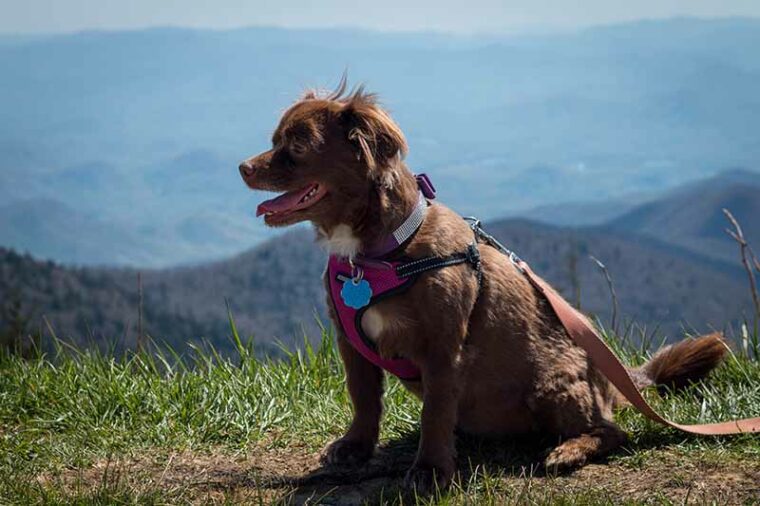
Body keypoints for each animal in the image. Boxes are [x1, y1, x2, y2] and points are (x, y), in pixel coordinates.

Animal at [238, 82, 724, 490]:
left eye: (297, 146)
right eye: (275, 139)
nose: (243, 167)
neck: (383, 250)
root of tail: (612, 380)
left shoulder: (442, 348)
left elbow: (434, 411)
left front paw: (430, 470)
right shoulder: (351, 344)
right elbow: (364, 399)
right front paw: (356, 447)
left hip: (554, 383)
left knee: (610, 431)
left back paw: (568, 450)